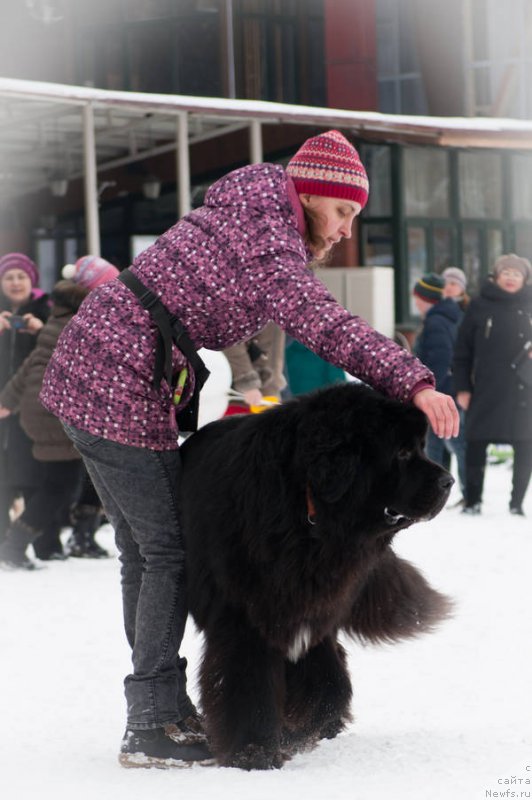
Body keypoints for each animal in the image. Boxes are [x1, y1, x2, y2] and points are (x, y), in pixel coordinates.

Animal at [180, 384, 454, 772]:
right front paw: (254, 751)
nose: (449, 481)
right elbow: (248, 684)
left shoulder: (316, 612)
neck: (308, 511)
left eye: (420, 446)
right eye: (401, 452)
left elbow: (329, 684)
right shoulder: (246, 621)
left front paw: (299, 732)